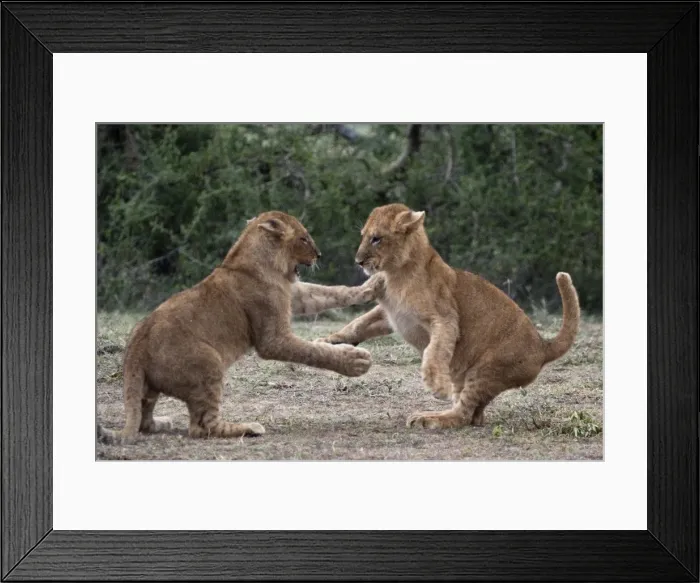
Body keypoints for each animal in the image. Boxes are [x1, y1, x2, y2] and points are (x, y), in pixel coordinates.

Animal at [98, 211, 384, 444]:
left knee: (143, 419)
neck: (262, 263)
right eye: (304, 238)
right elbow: (312, 351)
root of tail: (135, 347)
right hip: (209, 363)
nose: (319, 255)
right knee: (202, 426)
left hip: (148, 385)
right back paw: (249, 428)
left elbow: (327, 292)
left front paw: (372, 286)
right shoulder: (272, 339)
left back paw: (162, 422)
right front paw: (356, 361)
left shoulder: (292, 294)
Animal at [317, 203, 580, 429]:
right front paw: (329, 341)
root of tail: (543, 345)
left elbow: (435, 350)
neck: (395, 273)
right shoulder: (391, 313)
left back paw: (428, 418)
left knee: (463, 414)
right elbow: (358, 323)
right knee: (475, 416)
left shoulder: (445, 319)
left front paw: (435, 383)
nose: (358, 261)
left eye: (376, 238)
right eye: (363, 236)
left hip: (486, 369)